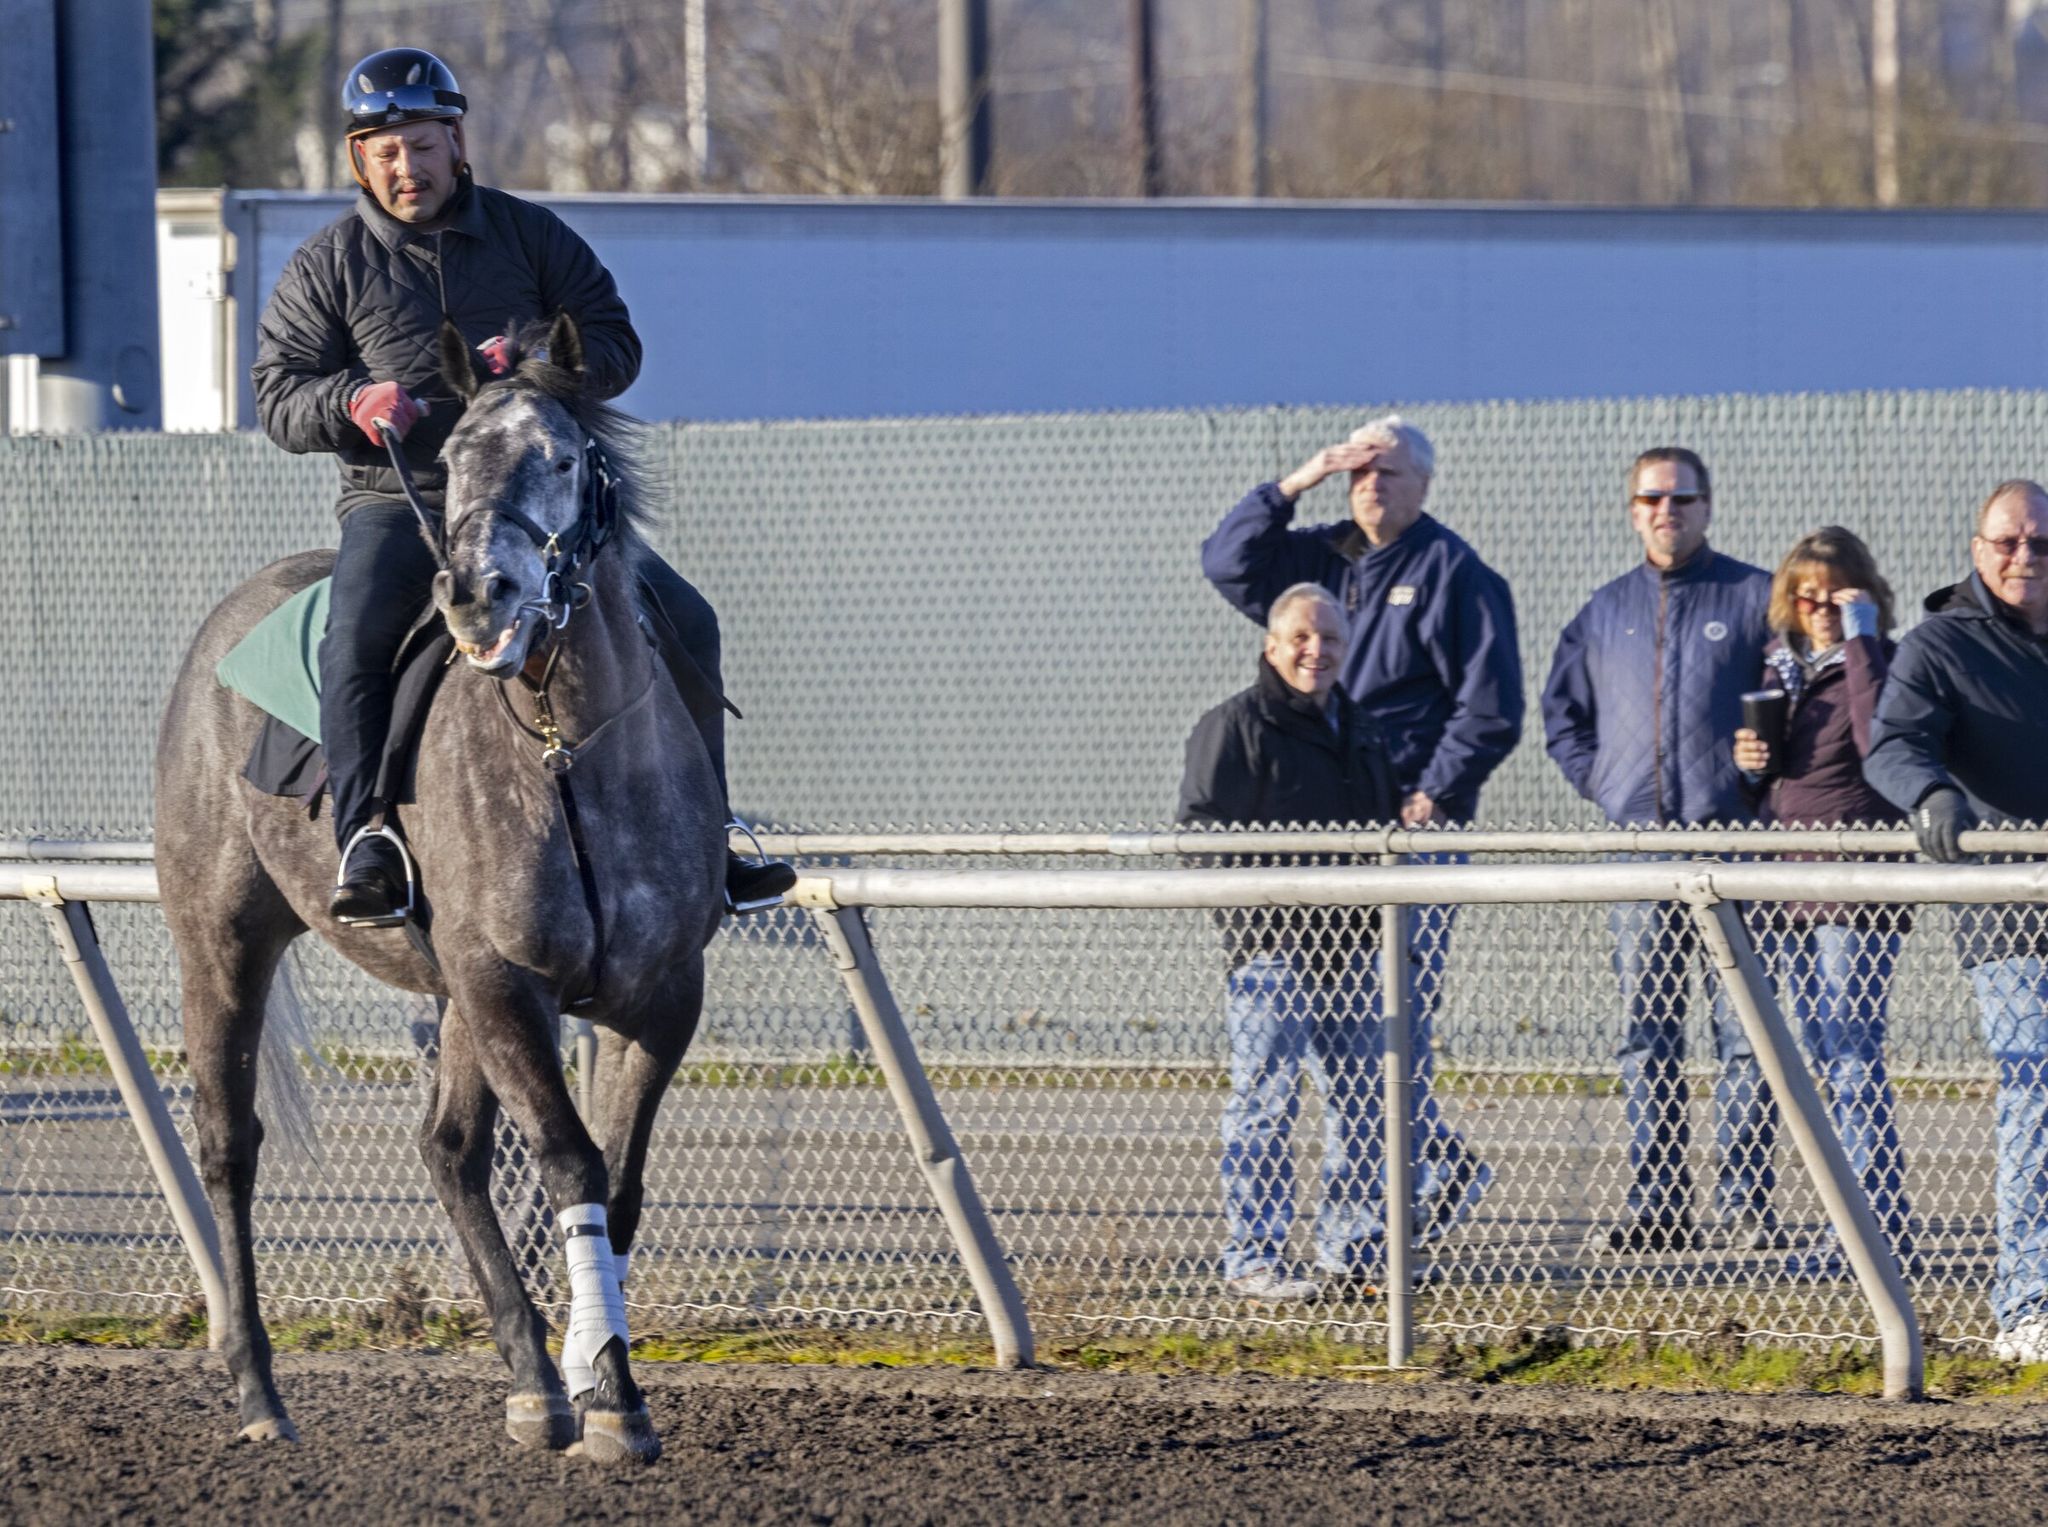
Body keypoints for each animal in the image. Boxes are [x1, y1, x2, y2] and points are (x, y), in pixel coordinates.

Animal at [155, 313, 724, 1463]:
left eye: (561, 458)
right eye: (452, 459)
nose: (473, 592)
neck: (562, 747)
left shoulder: (656, 998)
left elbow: (620, 1183)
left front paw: (586, 1375)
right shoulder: (505, 982)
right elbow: (570, 1164)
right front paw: (611, 1393)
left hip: (448, 993)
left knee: (448, 1150)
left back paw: (531, 1382)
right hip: (224, 941)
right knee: (230, 1143)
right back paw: (258, 1390)